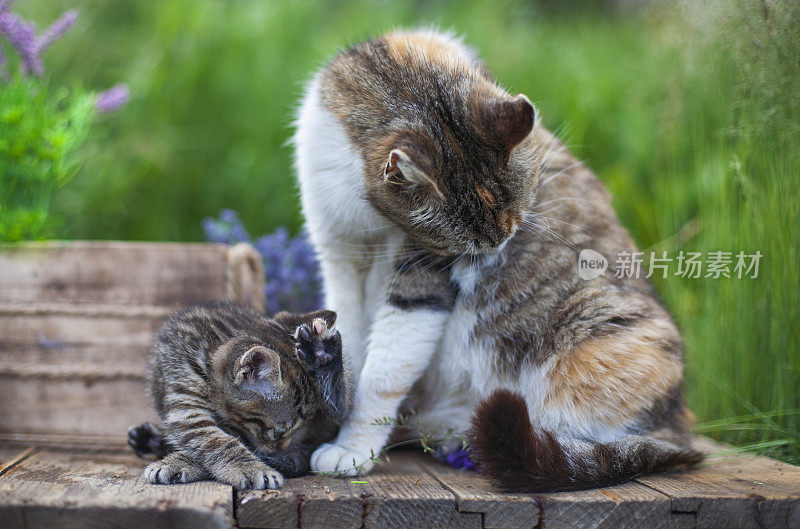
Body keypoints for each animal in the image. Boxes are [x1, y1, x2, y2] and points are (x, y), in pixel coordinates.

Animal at [127, 304, 346, 488]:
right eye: (278, 432)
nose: (281, 448)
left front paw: (178, 461)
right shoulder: (184, 400)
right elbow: (215, 440)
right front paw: (252, 469)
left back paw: (322, 352)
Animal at [294, 28, 700, 490]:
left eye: (514, 227)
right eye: (472, 246)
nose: (496, 251)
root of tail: (678, 429)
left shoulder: (422, 277)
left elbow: (383, 372)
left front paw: (353, 448)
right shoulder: (338, 256)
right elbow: (351, 347)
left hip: (592, 342)